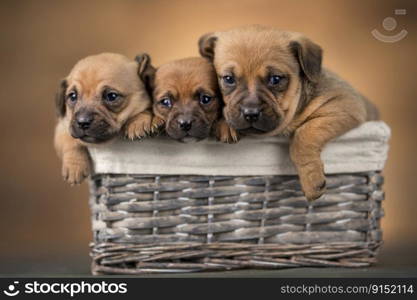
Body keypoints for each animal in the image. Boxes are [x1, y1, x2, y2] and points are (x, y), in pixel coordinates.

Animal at [53, 52, 154, 184]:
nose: (82, 122)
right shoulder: (62, 128)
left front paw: (137, 122)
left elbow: (147, 109)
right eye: (73, 96)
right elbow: (70, 141)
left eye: (111, 96)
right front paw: (74, 166)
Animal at [200, 25, 378, 199]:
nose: (250, 113)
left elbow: (304, 134)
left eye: (275, 79)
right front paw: (226, 125)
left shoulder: (344, 103)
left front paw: (311, 179)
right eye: (228, 79)